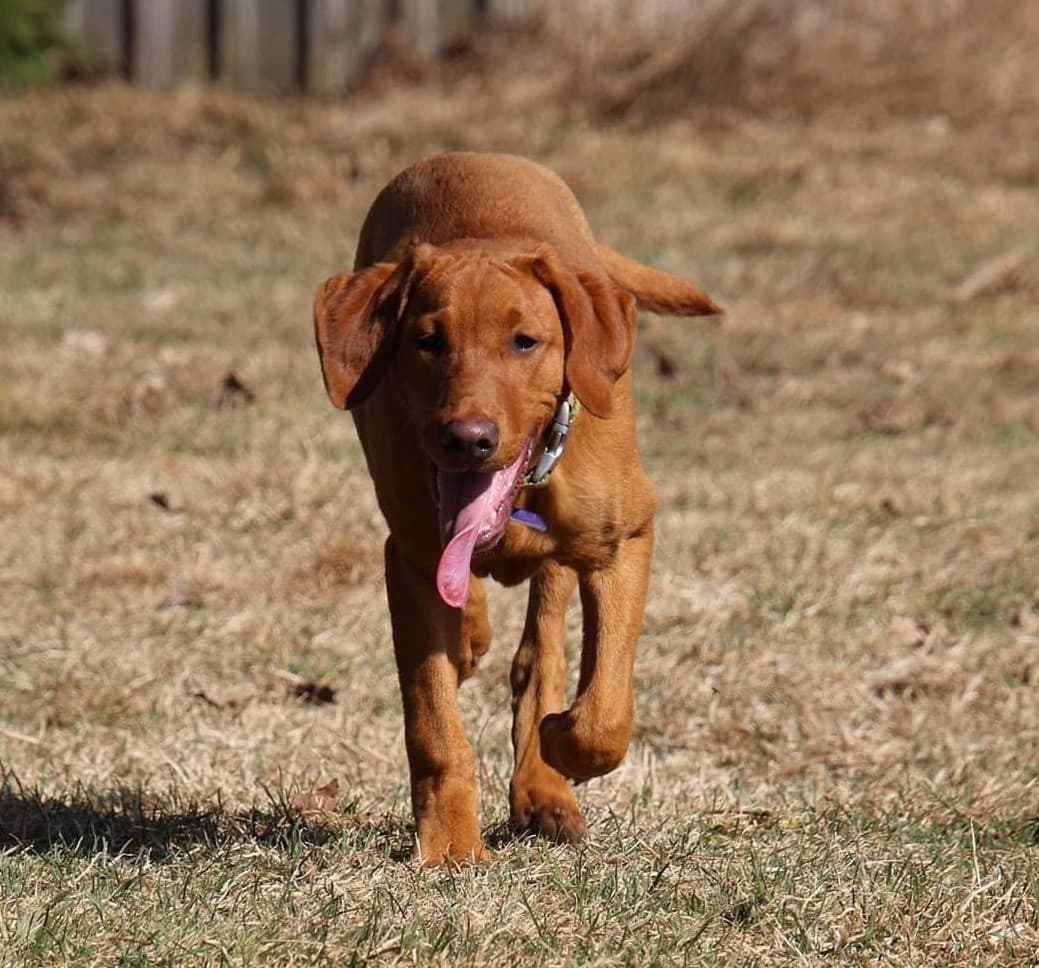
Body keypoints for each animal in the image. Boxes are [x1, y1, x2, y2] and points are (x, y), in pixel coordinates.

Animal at [311, 151, 718, 864]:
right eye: (427, 340)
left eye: (525, 342)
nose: (468, 438)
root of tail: (467, 155)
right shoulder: (408, 557)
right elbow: (433, 722)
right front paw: (450, 846)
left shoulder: (628, 537)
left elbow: (605, 709)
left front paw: (560, 746)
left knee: (541, 650)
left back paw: (543, 785)